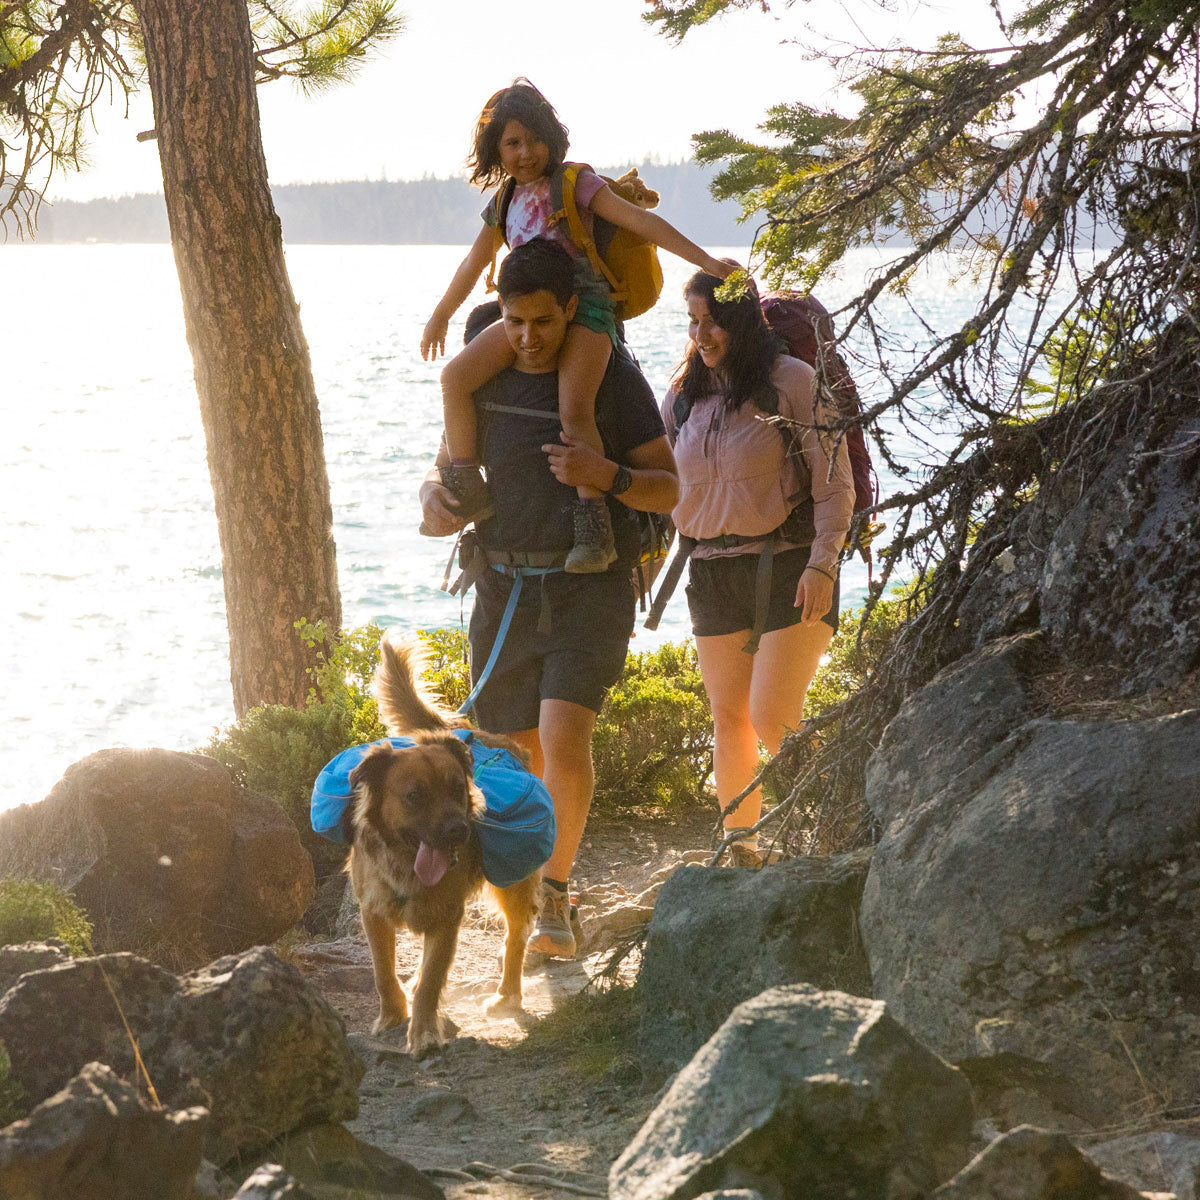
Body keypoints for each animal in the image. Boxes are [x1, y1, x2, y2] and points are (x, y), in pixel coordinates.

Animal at [345, 633, 537, 1056]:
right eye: (414, 796)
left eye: (456, 790)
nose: (458, 831)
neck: (406, 865)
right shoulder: (373, 912)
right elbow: (383, 971)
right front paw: (391, 1017)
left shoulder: (448, 919)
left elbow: (432, 980)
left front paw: (423, 1032)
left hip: (513, 885)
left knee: (516, 937)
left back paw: (507, 994)